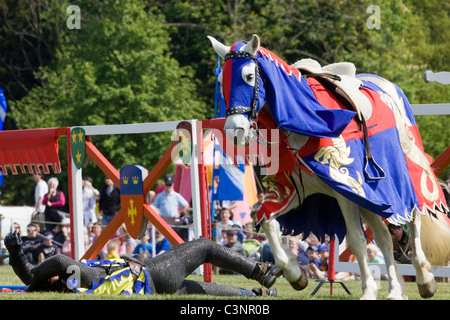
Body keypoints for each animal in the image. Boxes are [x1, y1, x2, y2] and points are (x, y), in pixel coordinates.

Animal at [209, 33, 450, 298]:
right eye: (221, 80)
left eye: (249, 77)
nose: (235, 131)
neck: (304, 125)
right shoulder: (294, 189)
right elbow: (267, 221)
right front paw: (295, 273)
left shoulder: (346, 191)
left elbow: (356, 241)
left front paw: (368, 291)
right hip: (372, 200)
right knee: (384, 236)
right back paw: (396, 290)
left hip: (403, 179)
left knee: (415, 214)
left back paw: (424, 279)